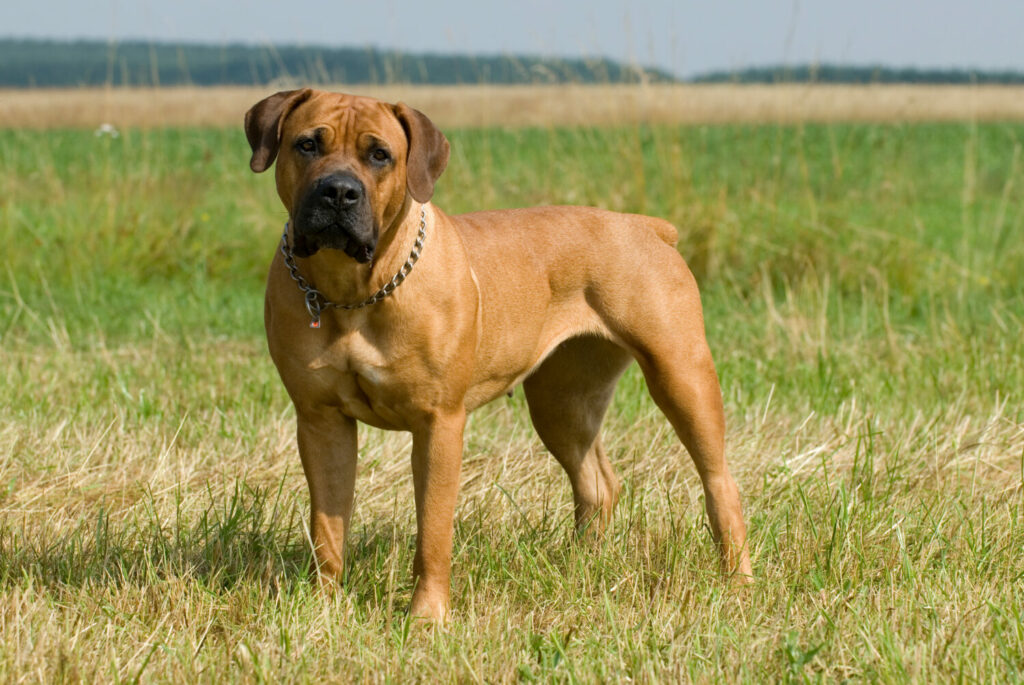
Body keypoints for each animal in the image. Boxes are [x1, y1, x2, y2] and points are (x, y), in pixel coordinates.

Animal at [243, 87, 749, 618]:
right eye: (307, 144)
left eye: (379, 155)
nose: (339, 192)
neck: (352, 292)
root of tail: (646, 226)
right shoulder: (321, 420)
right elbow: (328, 524)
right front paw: (322, 605)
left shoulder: (439, 423)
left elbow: (433, 532)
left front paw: (426, 617)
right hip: (562, 402)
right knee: (596, 483)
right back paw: (580, 565)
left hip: (680, 375)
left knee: (720, 482)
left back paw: (737, 581)